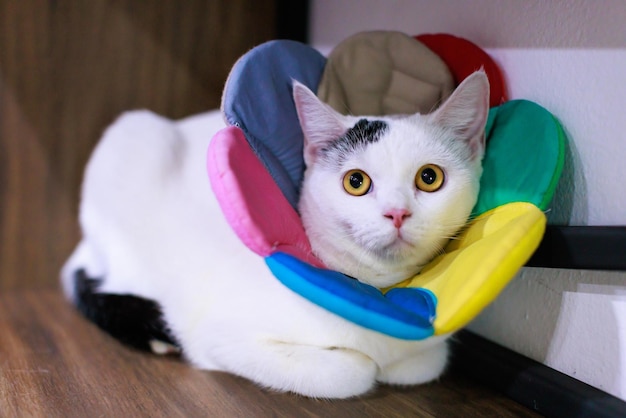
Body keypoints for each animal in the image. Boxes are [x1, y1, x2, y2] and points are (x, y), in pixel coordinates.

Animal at [59, 69, 488, 398]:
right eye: (356, 182)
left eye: (429, 178)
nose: (397, 213)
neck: (371, 295)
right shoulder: (217, 337)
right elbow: (350, 372)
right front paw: (365, 366)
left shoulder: (430, 348)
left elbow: (426, 363)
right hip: (129, 140)